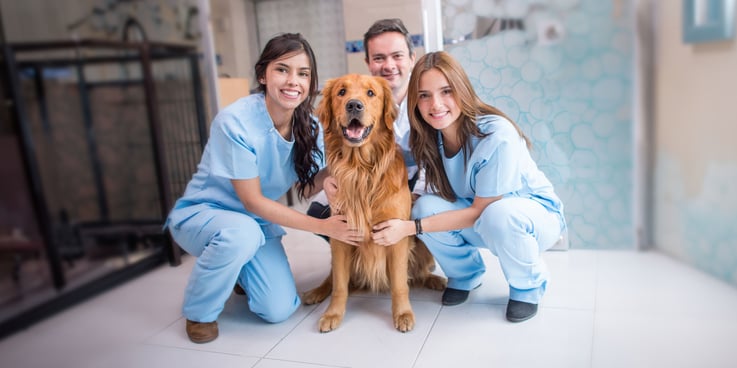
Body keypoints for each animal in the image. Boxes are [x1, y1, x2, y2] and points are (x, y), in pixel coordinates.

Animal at [302, 73, 446, 332]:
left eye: (371, 93)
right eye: (341, 92)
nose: (354, 105)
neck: (361, 169)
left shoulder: (395, 235)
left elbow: (400, 284)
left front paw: (403, 314)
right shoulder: (340, 235)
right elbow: (339, 285)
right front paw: (333, 314)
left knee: (417, 274)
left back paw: (435, 280)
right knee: (332, 279)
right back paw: (316, 292)